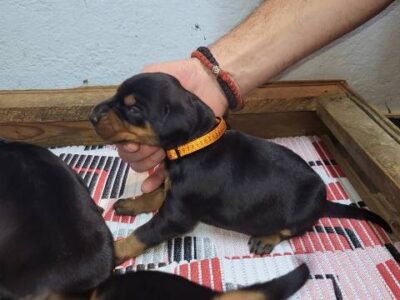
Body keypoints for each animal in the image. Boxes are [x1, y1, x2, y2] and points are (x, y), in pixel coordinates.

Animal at [89, 72, 392, 262]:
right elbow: (152, 195)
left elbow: (144, 233)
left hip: (301, 214)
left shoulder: (177, 214)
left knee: (290, 229)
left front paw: (115, 252)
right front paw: (130, 204)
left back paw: (265, 239)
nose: (91, 114)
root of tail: (324, 201)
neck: (193, 145)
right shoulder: (172, 191)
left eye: (133, 109)